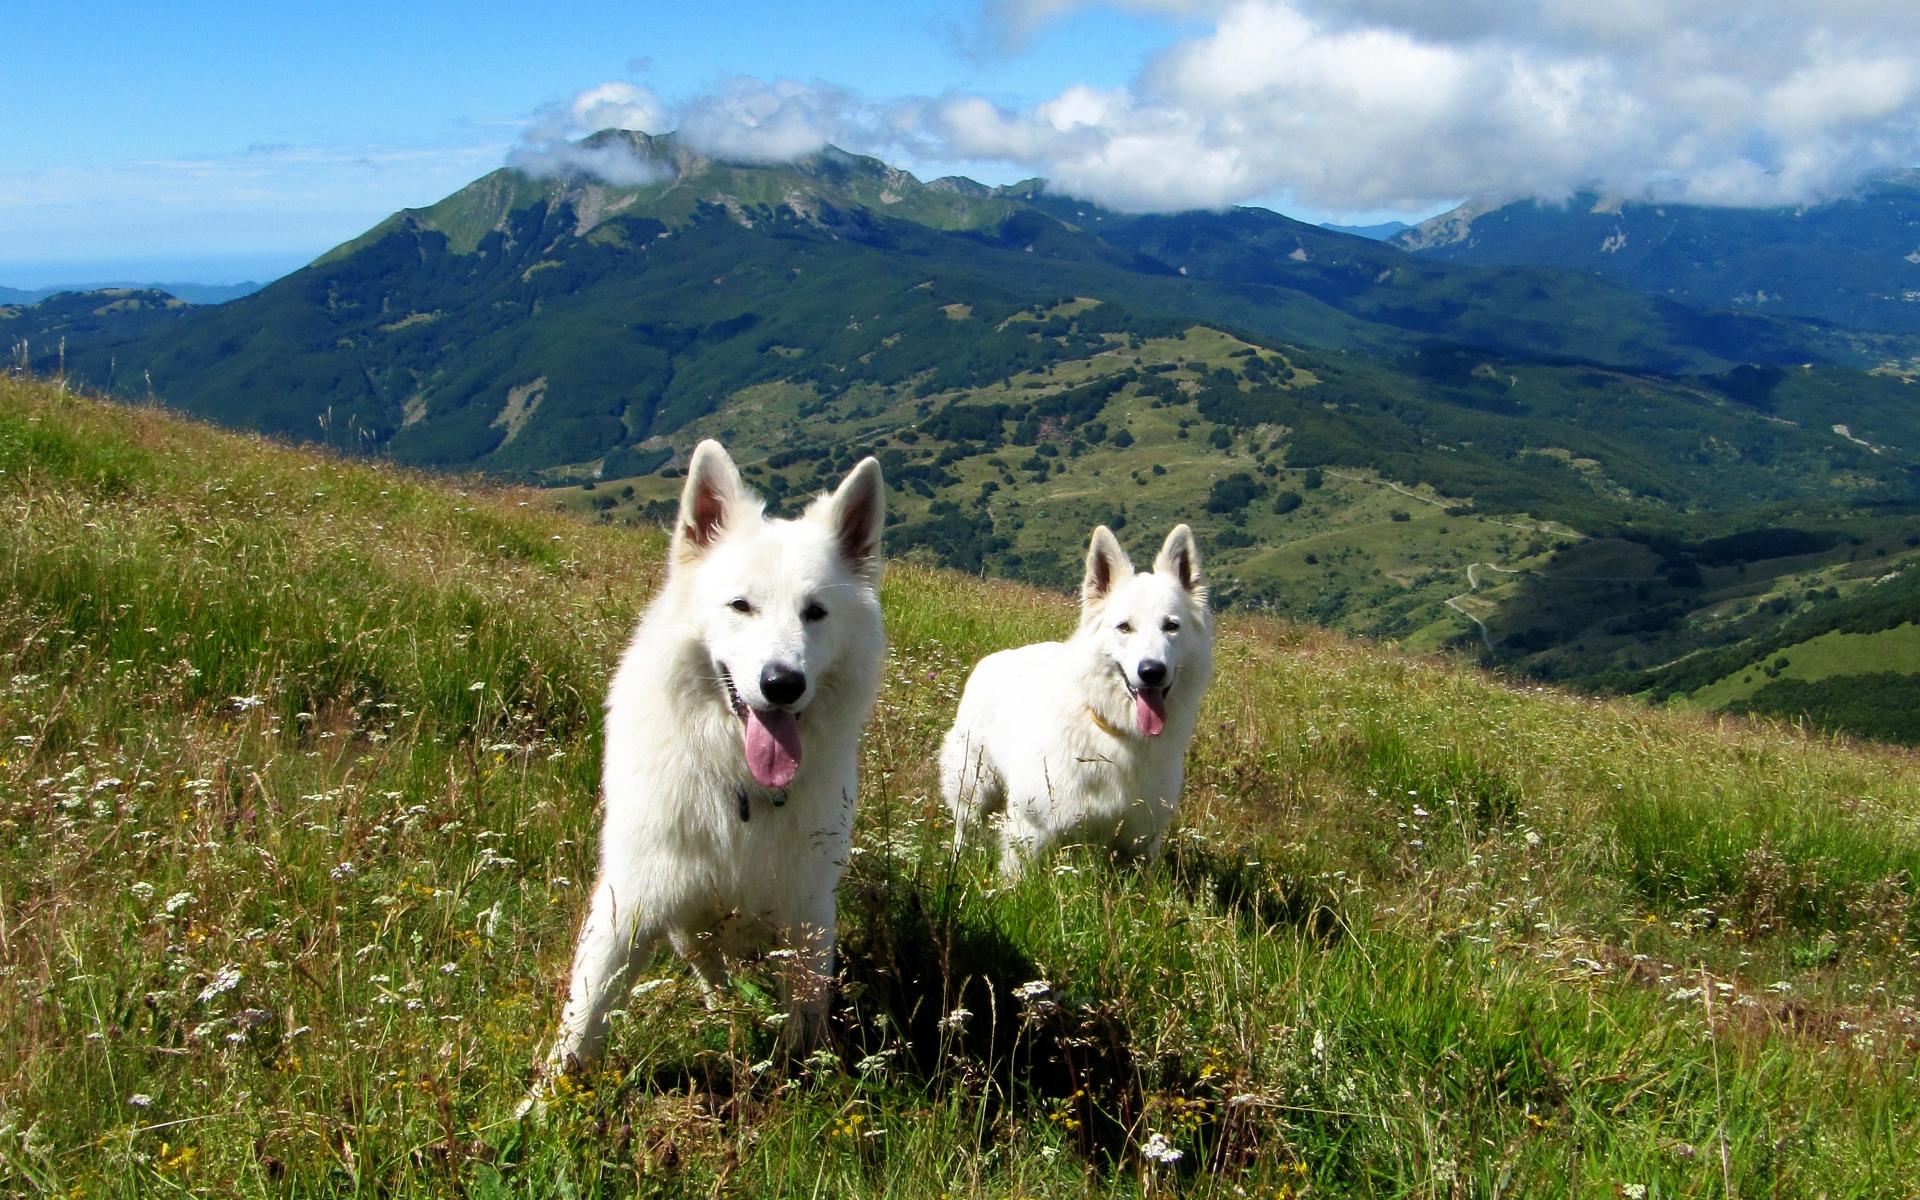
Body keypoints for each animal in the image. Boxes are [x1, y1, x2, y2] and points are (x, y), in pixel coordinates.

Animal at [541, 439, 883, 1075]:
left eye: (815, 612)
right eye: (741, 606)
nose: (782, 684)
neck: (739, 783)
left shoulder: (807, 914)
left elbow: (805, 1016)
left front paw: (807, 1079)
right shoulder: (630, 901)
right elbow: (586, 1013)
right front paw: (547, 1094)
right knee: (706, 962)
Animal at [940, 518, 1213, 875]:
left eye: (1171, 626)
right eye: (1124, 627)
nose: (1151, 671)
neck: (1113, 731)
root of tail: (994, 657)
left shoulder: (1140, 840)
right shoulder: (1030, 827)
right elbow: (1015, 882)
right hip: (974, 787)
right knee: (965, 830)